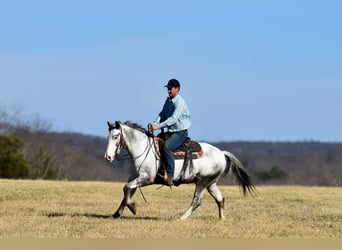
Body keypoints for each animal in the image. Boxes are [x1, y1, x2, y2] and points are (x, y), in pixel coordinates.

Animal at [104, 121, 254, 221]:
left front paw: (133, 207)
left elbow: (126, 188)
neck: (142, 149)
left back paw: (182, 218)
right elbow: (127, 192)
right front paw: (117, 214)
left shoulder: (146, 179)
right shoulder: (135, 178)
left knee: (197, 200)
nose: (108, 157)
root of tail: (221, 153)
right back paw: (222, 219)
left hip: (202, 181)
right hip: (211, 183)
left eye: (116, 136)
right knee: (220, 199)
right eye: (109, 136)